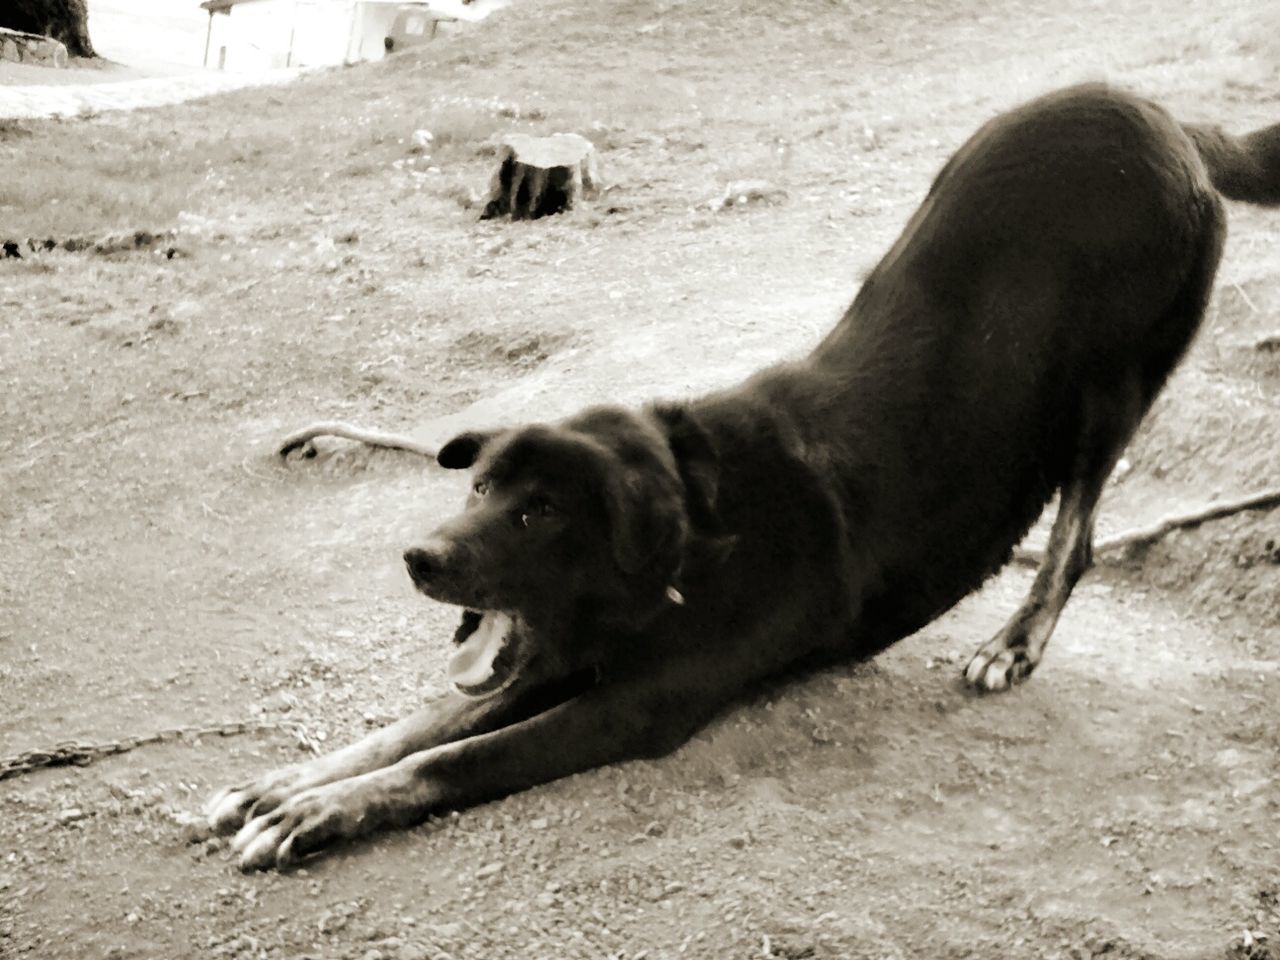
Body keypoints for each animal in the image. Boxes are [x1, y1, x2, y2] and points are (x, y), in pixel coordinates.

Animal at [207, 86, 1280, 875]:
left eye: (541, 511)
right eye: (480, 492)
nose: (417, 558)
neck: (689, 543)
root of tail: (1170, 120)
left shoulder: (629, 707)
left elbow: (456, 754)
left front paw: (320, 811)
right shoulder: (557, 657)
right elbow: (424, 721)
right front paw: (285, 784)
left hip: (1110, 389)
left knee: (1078, 530)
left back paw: (1015, 642)